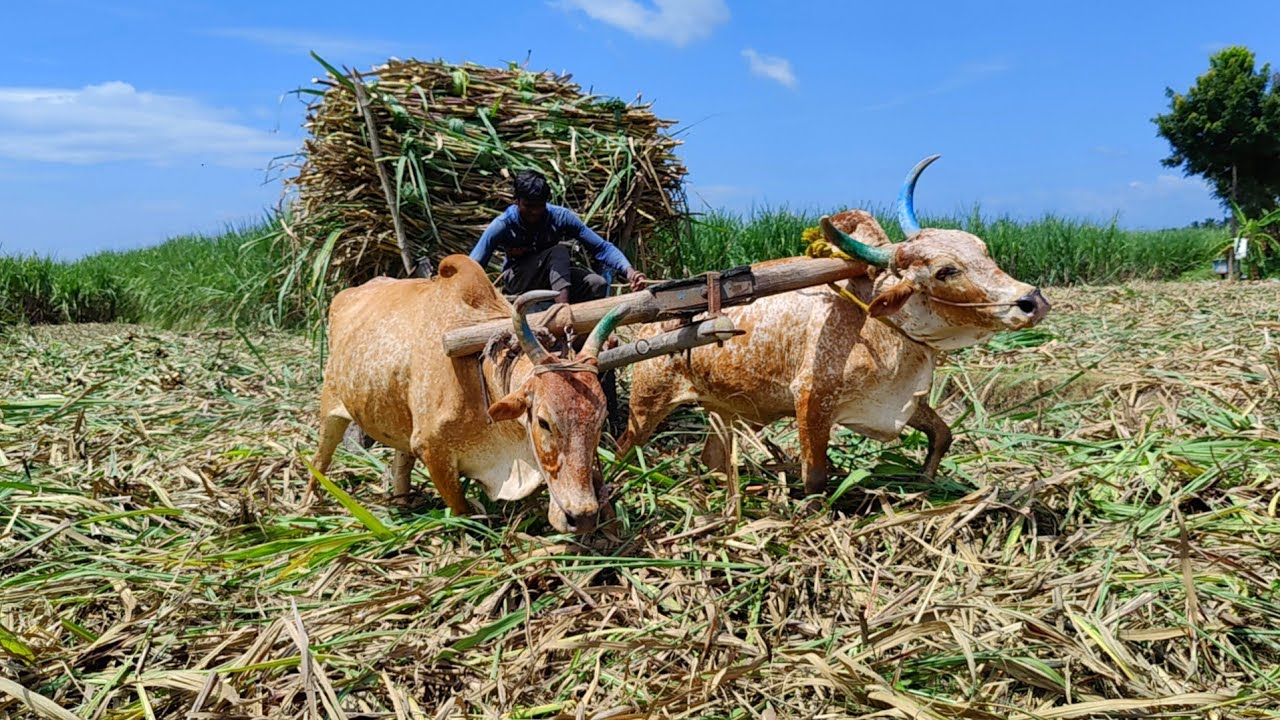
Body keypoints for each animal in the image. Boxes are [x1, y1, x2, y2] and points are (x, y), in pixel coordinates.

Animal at [312, 254, 626, 534]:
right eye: (544, 422)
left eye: (600, 422)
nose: (582, 517)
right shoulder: (433, 453)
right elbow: (462, 512)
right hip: (330, 410)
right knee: (319, 461)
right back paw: (311, 506)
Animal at [619, 155, 1051, 495]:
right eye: (946, 271)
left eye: (983, 250)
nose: (1032, 301)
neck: (877, 323)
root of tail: (649, 323)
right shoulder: (812, 401)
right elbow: (815, 477)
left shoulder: (899, 402)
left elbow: (943, 435)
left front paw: (926, 483)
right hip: (647, 403)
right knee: (623, 447)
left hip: (725, 409)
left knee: (712, 457)